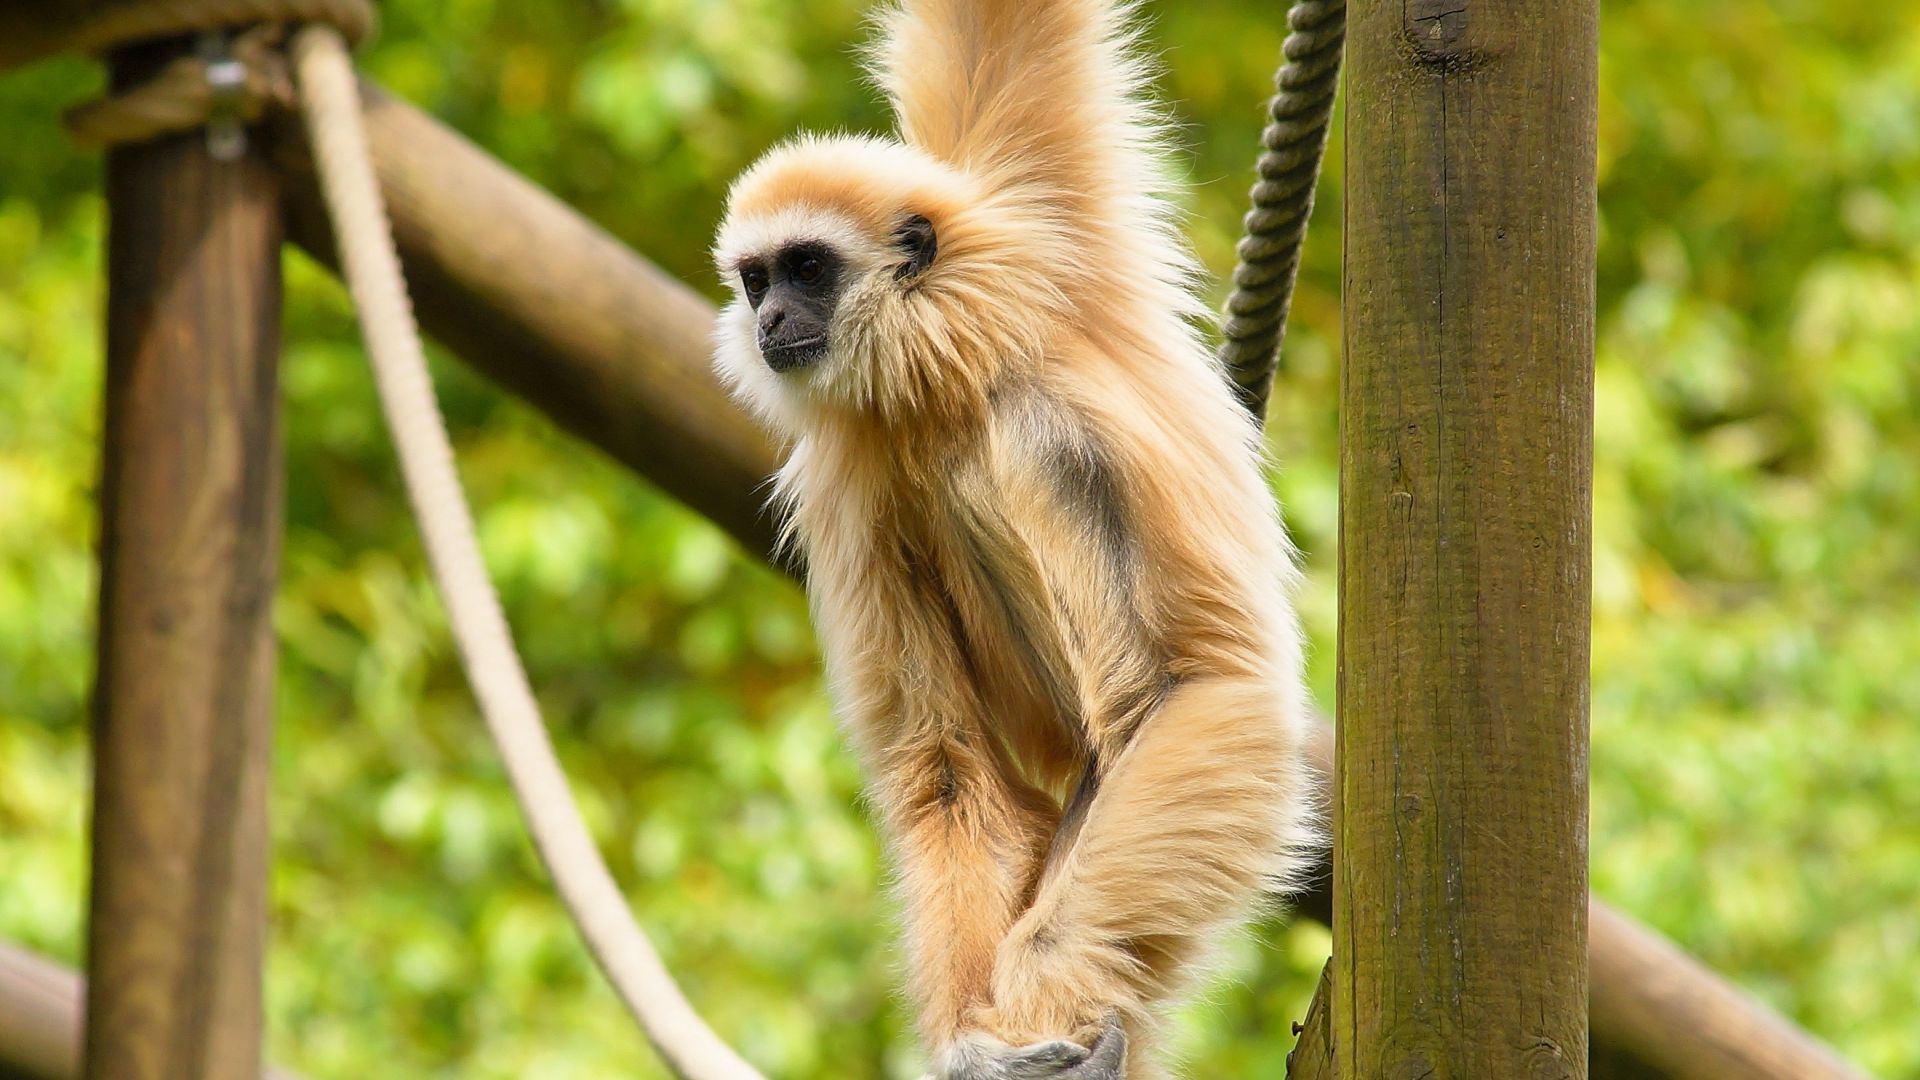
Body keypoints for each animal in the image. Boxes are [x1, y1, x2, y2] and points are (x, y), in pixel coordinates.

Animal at [711, 2, 1318, 1076]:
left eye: (808, 267)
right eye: (754, 280)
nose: (772, 316)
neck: (951, 364)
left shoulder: (1047, 259)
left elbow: (1202, 685)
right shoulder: (852, 488)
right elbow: (945, 767)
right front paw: (971, 1042)